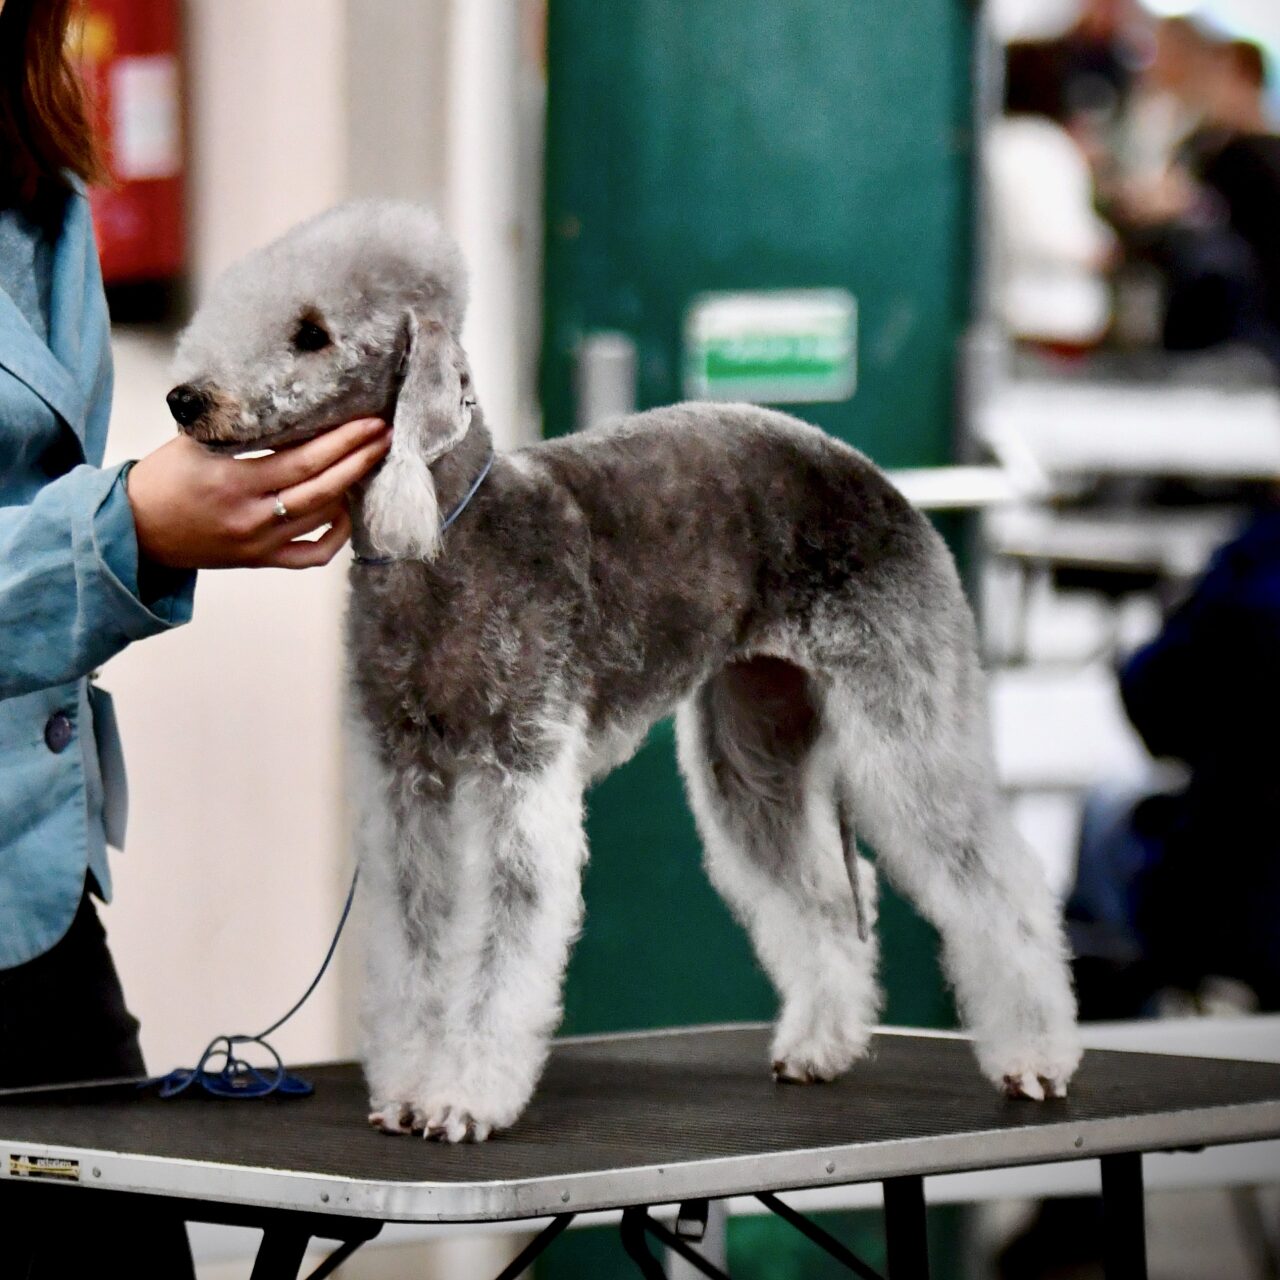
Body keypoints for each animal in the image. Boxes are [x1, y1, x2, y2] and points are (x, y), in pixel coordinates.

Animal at [169, 200, 1081, 1142]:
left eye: (312, 333)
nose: (184, 399)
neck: (447, 541)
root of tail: (875, 478)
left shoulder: (519, 774)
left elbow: (501, 941)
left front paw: (463, 1098)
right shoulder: (405, 781)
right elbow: (416, 936)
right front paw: (408, 1091)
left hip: (906, 719)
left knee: (997, 882)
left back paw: (1037, 1057)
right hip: (757, 740)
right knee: (828, 894)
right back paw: (821, 1045)